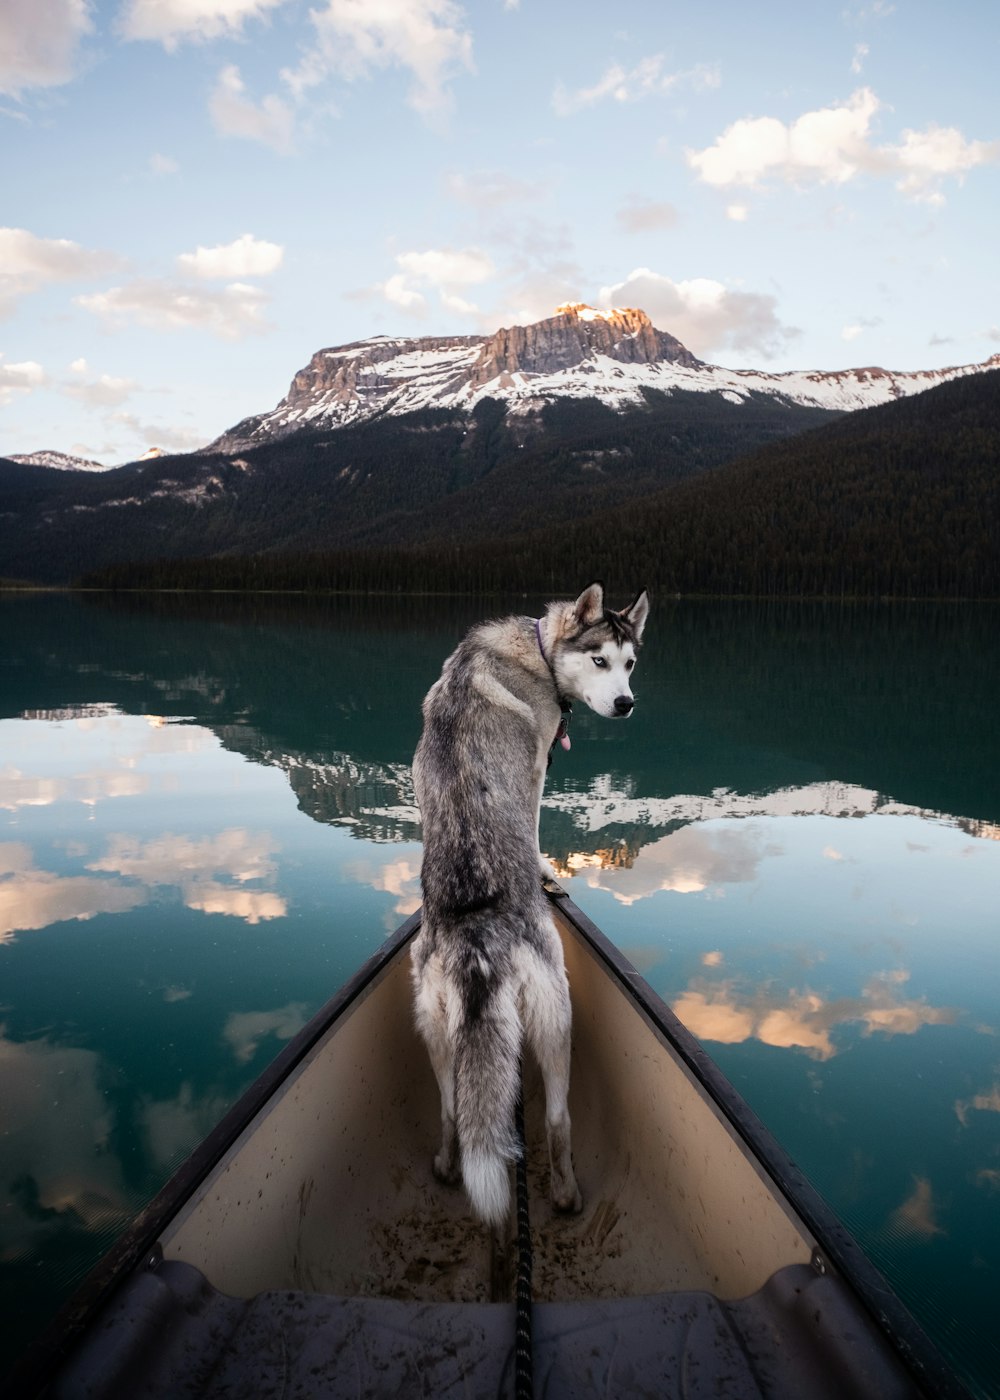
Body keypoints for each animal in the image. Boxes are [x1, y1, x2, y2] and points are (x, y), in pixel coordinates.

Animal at [411, 579, 649, 1226]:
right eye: (599, 661)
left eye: (630, 663)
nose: (626, 704)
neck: (537, 651)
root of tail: (478, 943)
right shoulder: (540, 763)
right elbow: (538, 830)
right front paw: (546, 869)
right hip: (555, 1017)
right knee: (558, 1119)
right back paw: (565, 1193)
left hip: (435, 1028)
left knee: (451, 1112)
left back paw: (446, 1164)